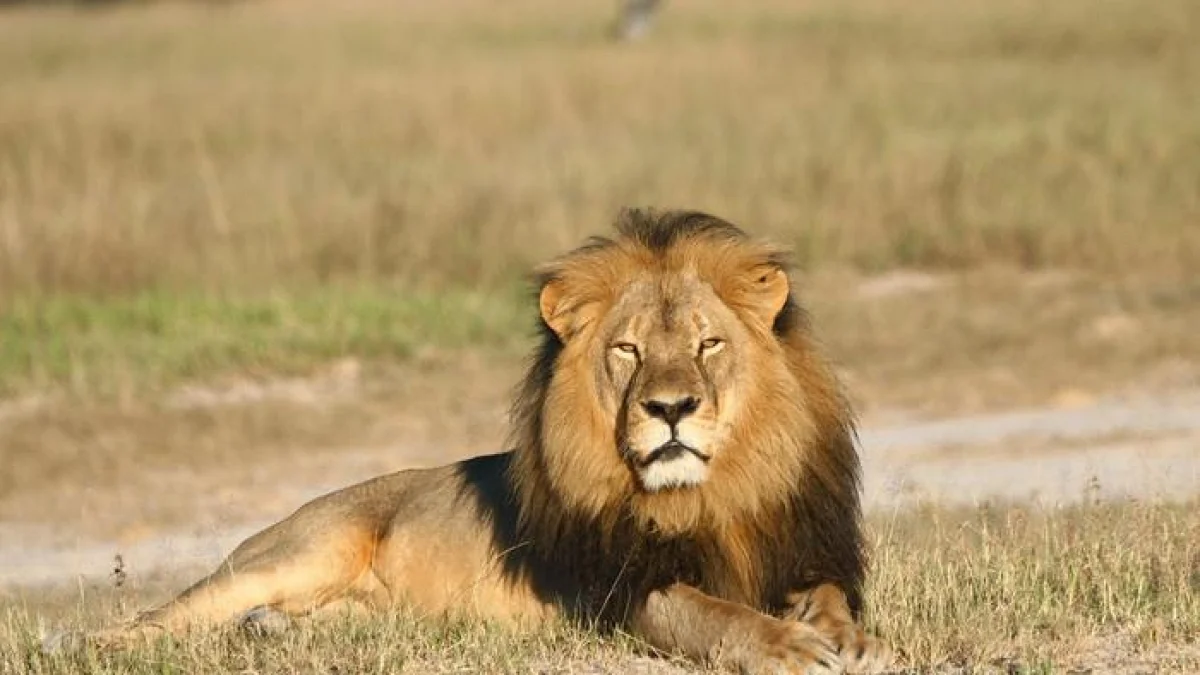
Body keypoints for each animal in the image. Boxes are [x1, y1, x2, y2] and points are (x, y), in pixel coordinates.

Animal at [48, 209, 892, 674]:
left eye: (708, 343)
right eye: (627, 351)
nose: (672, 407)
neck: (711, 494)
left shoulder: (801, 548)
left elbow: (830, 596)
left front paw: (843, 636)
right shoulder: (619, 591)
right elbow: (712, 615)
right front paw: (787, 646)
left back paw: (268, 629)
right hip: (294, 551)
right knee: (159, 616)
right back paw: (80, 646)